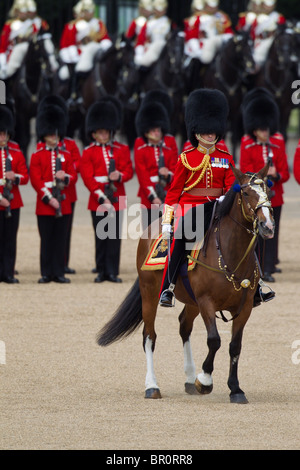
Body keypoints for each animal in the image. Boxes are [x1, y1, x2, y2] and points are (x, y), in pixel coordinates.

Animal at [97, 164, 276, 404]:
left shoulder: (244, 307)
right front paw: (205, 380)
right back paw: (152, 386)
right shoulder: (206, 302)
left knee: (184, 326)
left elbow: (235, 346)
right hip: (150, 293)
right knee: (149, 336)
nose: (268, 226)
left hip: (191, 301)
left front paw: (235, 389)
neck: (230, 251)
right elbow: (214, 340)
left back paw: (190, 379)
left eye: (267, 190)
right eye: (246, 193)